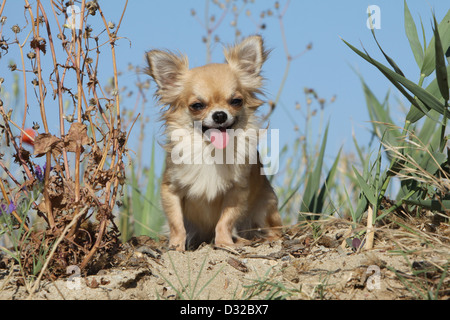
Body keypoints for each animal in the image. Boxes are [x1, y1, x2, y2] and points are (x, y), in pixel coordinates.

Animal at [146, 35, 282, 250]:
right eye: (197, 106)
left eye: (236, 101)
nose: (219, 115)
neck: (209, 150)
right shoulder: (170, 189)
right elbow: (176, 223)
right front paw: (176, 246)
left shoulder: (238, 192)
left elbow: (225, 221)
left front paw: (224, 242)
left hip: (265, 204)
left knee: (274, 231)